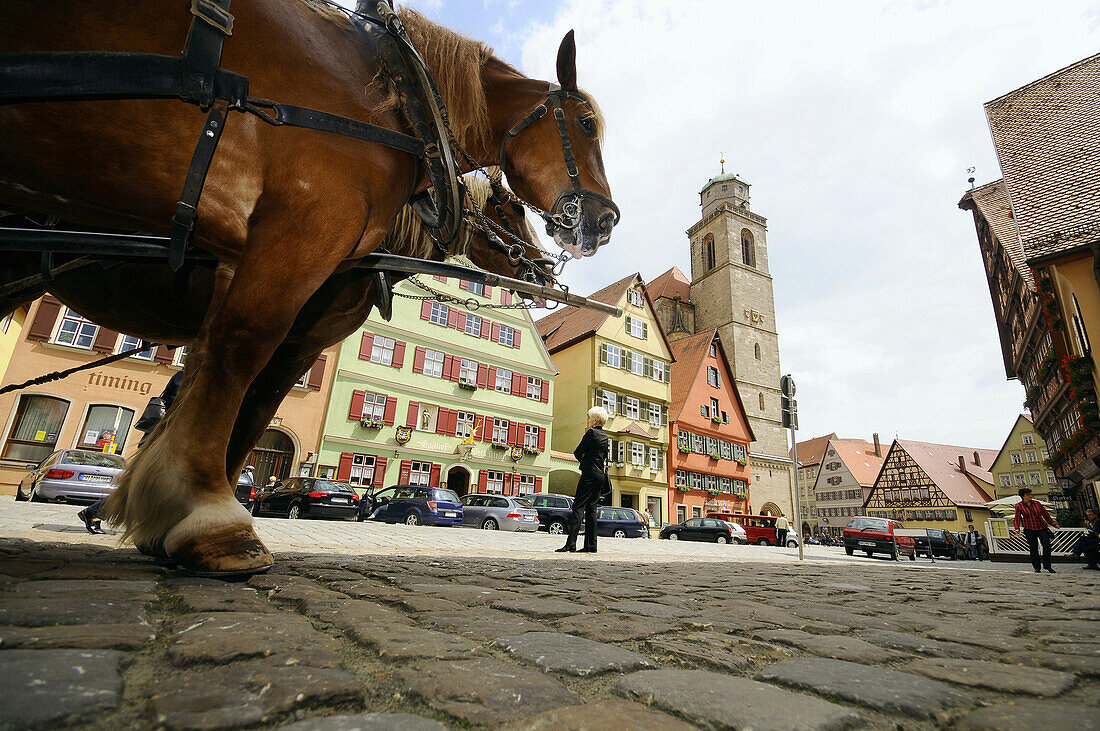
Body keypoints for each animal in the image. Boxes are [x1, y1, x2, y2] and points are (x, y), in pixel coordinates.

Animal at [0, 2, 616, 571]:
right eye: (585, 123)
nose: (603, 222)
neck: (396, 100)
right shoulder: (296, 252)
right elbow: (240, 370)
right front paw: (210, 516)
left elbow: (236, 399)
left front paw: (172, 513)